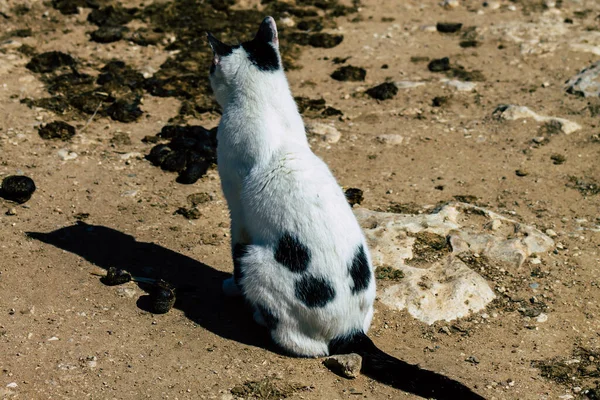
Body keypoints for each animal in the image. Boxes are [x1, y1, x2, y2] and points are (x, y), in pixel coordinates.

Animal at [209, 16, 486, 400]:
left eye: (211, 68)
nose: (208, 75)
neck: (265, 108)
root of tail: (351, 330)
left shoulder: (237, 213)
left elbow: (233, 252)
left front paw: (230, 288)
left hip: (259, 262)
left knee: (301, 342)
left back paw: (260, 317)